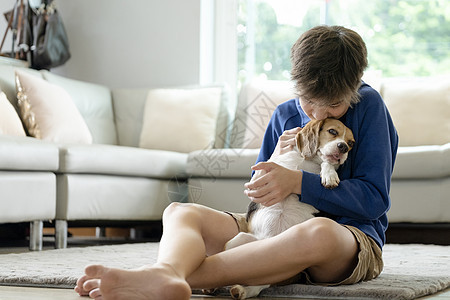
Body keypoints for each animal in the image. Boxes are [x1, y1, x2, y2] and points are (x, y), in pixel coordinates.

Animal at [225, 118, 356, 298]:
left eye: (350, 144)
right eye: (332, 131)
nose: (343, 147)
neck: (307, 161)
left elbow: (327, 163)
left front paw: (329, 175)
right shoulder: (268, 168)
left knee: (260, 283)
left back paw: (241, 290)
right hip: (237, 241)